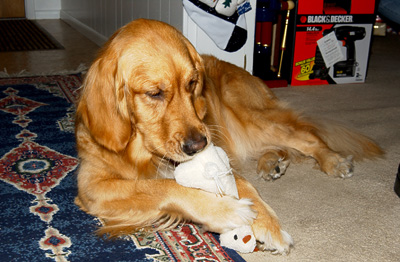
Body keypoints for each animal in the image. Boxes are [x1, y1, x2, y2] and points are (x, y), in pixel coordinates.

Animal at [73, 19, 382, 255]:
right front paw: (226, 210)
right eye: (154, 93)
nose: (198, 146)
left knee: (305, 135)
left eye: (192, 84)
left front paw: (267, 223)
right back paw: (273, 163)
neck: (139, 150)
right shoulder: (92, 185)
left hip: (250, 116)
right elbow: (162, 187)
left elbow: (241, 183)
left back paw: (332, 160)